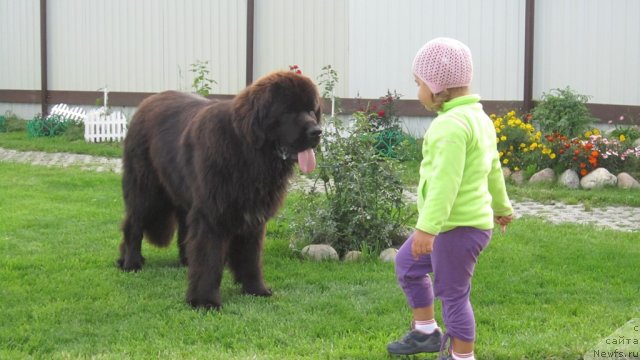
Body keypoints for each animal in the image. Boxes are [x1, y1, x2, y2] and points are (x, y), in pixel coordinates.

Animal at [118, 71, 322, 310]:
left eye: (311, 110)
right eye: (288, 111)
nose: (317, 131)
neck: (248, 154)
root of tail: (146, 102)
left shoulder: (254, 216)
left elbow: (251, 256)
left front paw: (256, 289)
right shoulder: (212, 213)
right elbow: (209, 256)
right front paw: (204, 300)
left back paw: (182, 261)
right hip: (146, 190)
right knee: (134, 224)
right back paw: (131, 262)